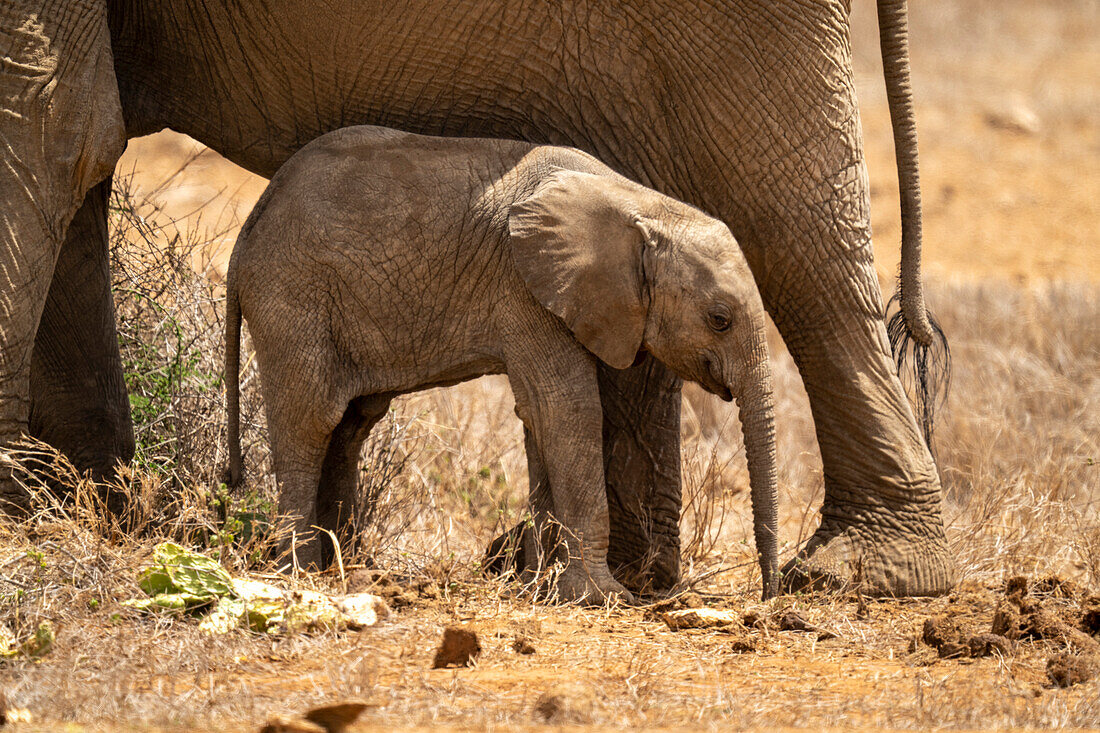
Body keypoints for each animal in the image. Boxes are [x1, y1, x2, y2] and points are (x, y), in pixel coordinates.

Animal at [223, 124, 778, 598]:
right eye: (720, 319)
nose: (770, 593)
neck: (640, 206)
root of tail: (250, 226)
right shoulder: (524, 288)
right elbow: (569, 410)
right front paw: (600, 596)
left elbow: (538, 417)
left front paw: (535, 585)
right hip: (291, 296)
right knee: (310, 422)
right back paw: (299, 574)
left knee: (351, 425)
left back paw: (347, 566)